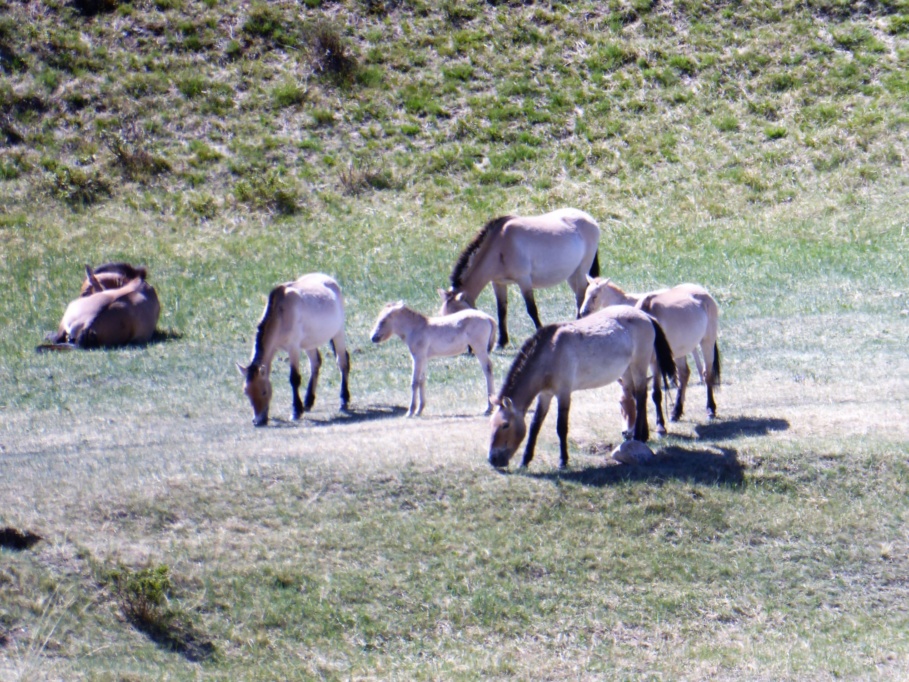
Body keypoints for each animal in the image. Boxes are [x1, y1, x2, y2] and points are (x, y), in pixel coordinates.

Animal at [236, 270, 350, 424]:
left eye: (264, 391)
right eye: (246, 392)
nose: (258, 421)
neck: (281, 313)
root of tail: (330, 280)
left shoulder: (293, 348)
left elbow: (294, 378)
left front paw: (296, 411)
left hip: (338, 333)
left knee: (342, 363)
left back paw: (344, 401)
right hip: (309, 344)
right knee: (315, 363)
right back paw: (308, 402)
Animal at [368, 298, 496, 414]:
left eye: (383, 320)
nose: (373, 337)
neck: (416, 328)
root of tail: (487, 318)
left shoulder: (417, 358)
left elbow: (414, 382)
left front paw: (411, 411)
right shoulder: (424, 359)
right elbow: (422, 381)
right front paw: (420, 409)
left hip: (479, 348)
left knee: (487, 368)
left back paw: (489, 408)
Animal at [438, 206, 600, 346]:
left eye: (459, 318)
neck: (500, 245)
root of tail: (590, 219)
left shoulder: (524, 280)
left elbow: (531, 309)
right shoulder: (498, 283)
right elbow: (501, 310)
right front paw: (502, 342)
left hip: (581, 271)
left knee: (581, 295)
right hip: (572, 275)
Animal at [490, 304, 672, 468]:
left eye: (505, 425)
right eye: (491, 424)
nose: (492, 459)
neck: (550, 352)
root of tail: (646, 316)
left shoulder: (564, 393)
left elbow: (561, 427)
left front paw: (563, 460)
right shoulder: (545, 394)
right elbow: (535, 425)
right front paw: (525, 460)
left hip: (638, 366)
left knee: (641, 398)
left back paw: (638, 436)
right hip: (627, 371)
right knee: (635, 397)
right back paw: (642, 435)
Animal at [580, 274, 724, 430]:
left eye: (595, 296)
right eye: (621, 403)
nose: (583, 312)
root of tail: (705, 294)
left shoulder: (655, 362)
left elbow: (656, 393)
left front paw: (660, 425)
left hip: (707, 342)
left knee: (707, 374)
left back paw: (710, 410)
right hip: (680, 351)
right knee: (684, 375)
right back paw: (676, 412)